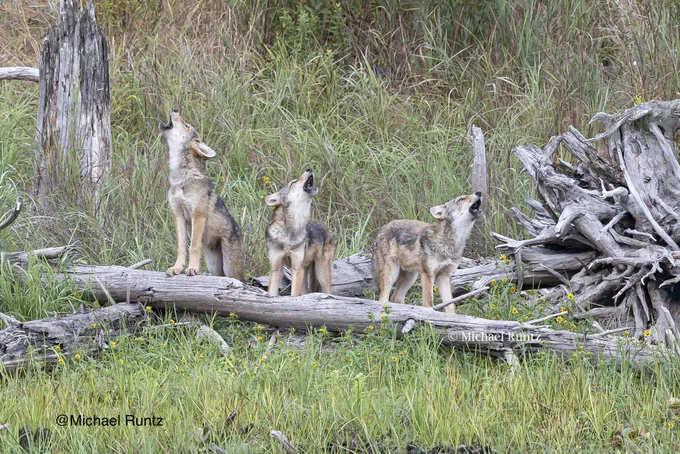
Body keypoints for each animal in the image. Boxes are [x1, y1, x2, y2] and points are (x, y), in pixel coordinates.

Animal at [159, 110, 245, 280]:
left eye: (187, 125)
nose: (175, 109)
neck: (182, 179)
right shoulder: (178, 215)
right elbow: (181, 248)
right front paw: (177, 268)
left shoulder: (197, 216)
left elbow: (193, 247)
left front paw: (192, 268)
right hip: (214, 267)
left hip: (231, 269)